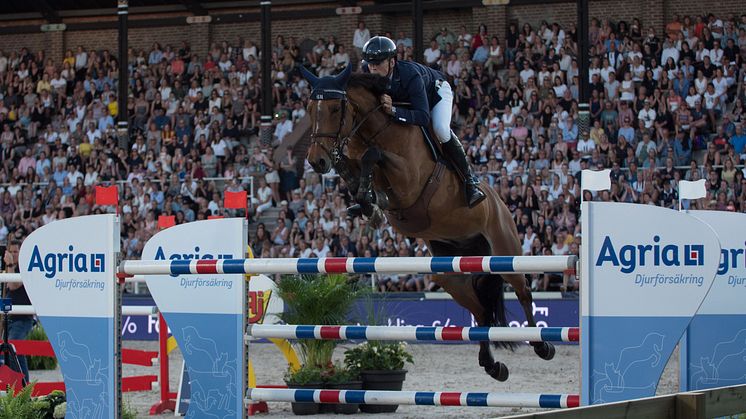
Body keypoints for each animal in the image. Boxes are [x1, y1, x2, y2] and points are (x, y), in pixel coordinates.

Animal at [298, 65, 552, 380]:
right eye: (310, 109)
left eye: (335, 108)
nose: (316, 161)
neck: (377, 130)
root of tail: (499, 201)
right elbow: (353, 168)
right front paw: (367, 203)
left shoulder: (408, 180)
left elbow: (374, 156)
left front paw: (371, 200)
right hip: (450, 272)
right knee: (480, 310)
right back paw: (493, 366)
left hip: (505, 252)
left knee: (523, 290)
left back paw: (542, 346)